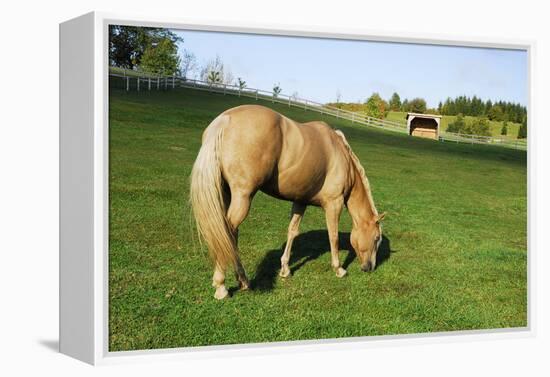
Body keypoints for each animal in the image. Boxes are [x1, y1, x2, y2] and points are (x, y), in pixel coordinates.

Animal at [192, 104, 386, 298]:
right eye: (376, 238)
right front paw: (339, 269)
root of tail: (225, 119)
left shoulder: (301, 201)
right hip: (243, 197)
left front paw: (285, 269)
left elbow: (292, 231)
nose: (370, 267)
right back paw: (222, 286)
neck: (341, 156)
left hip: (225, 193)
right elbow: (334, 236)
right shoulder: (334, 204)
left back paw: (243, 280)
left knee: (229, 235)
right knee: (228, 233)